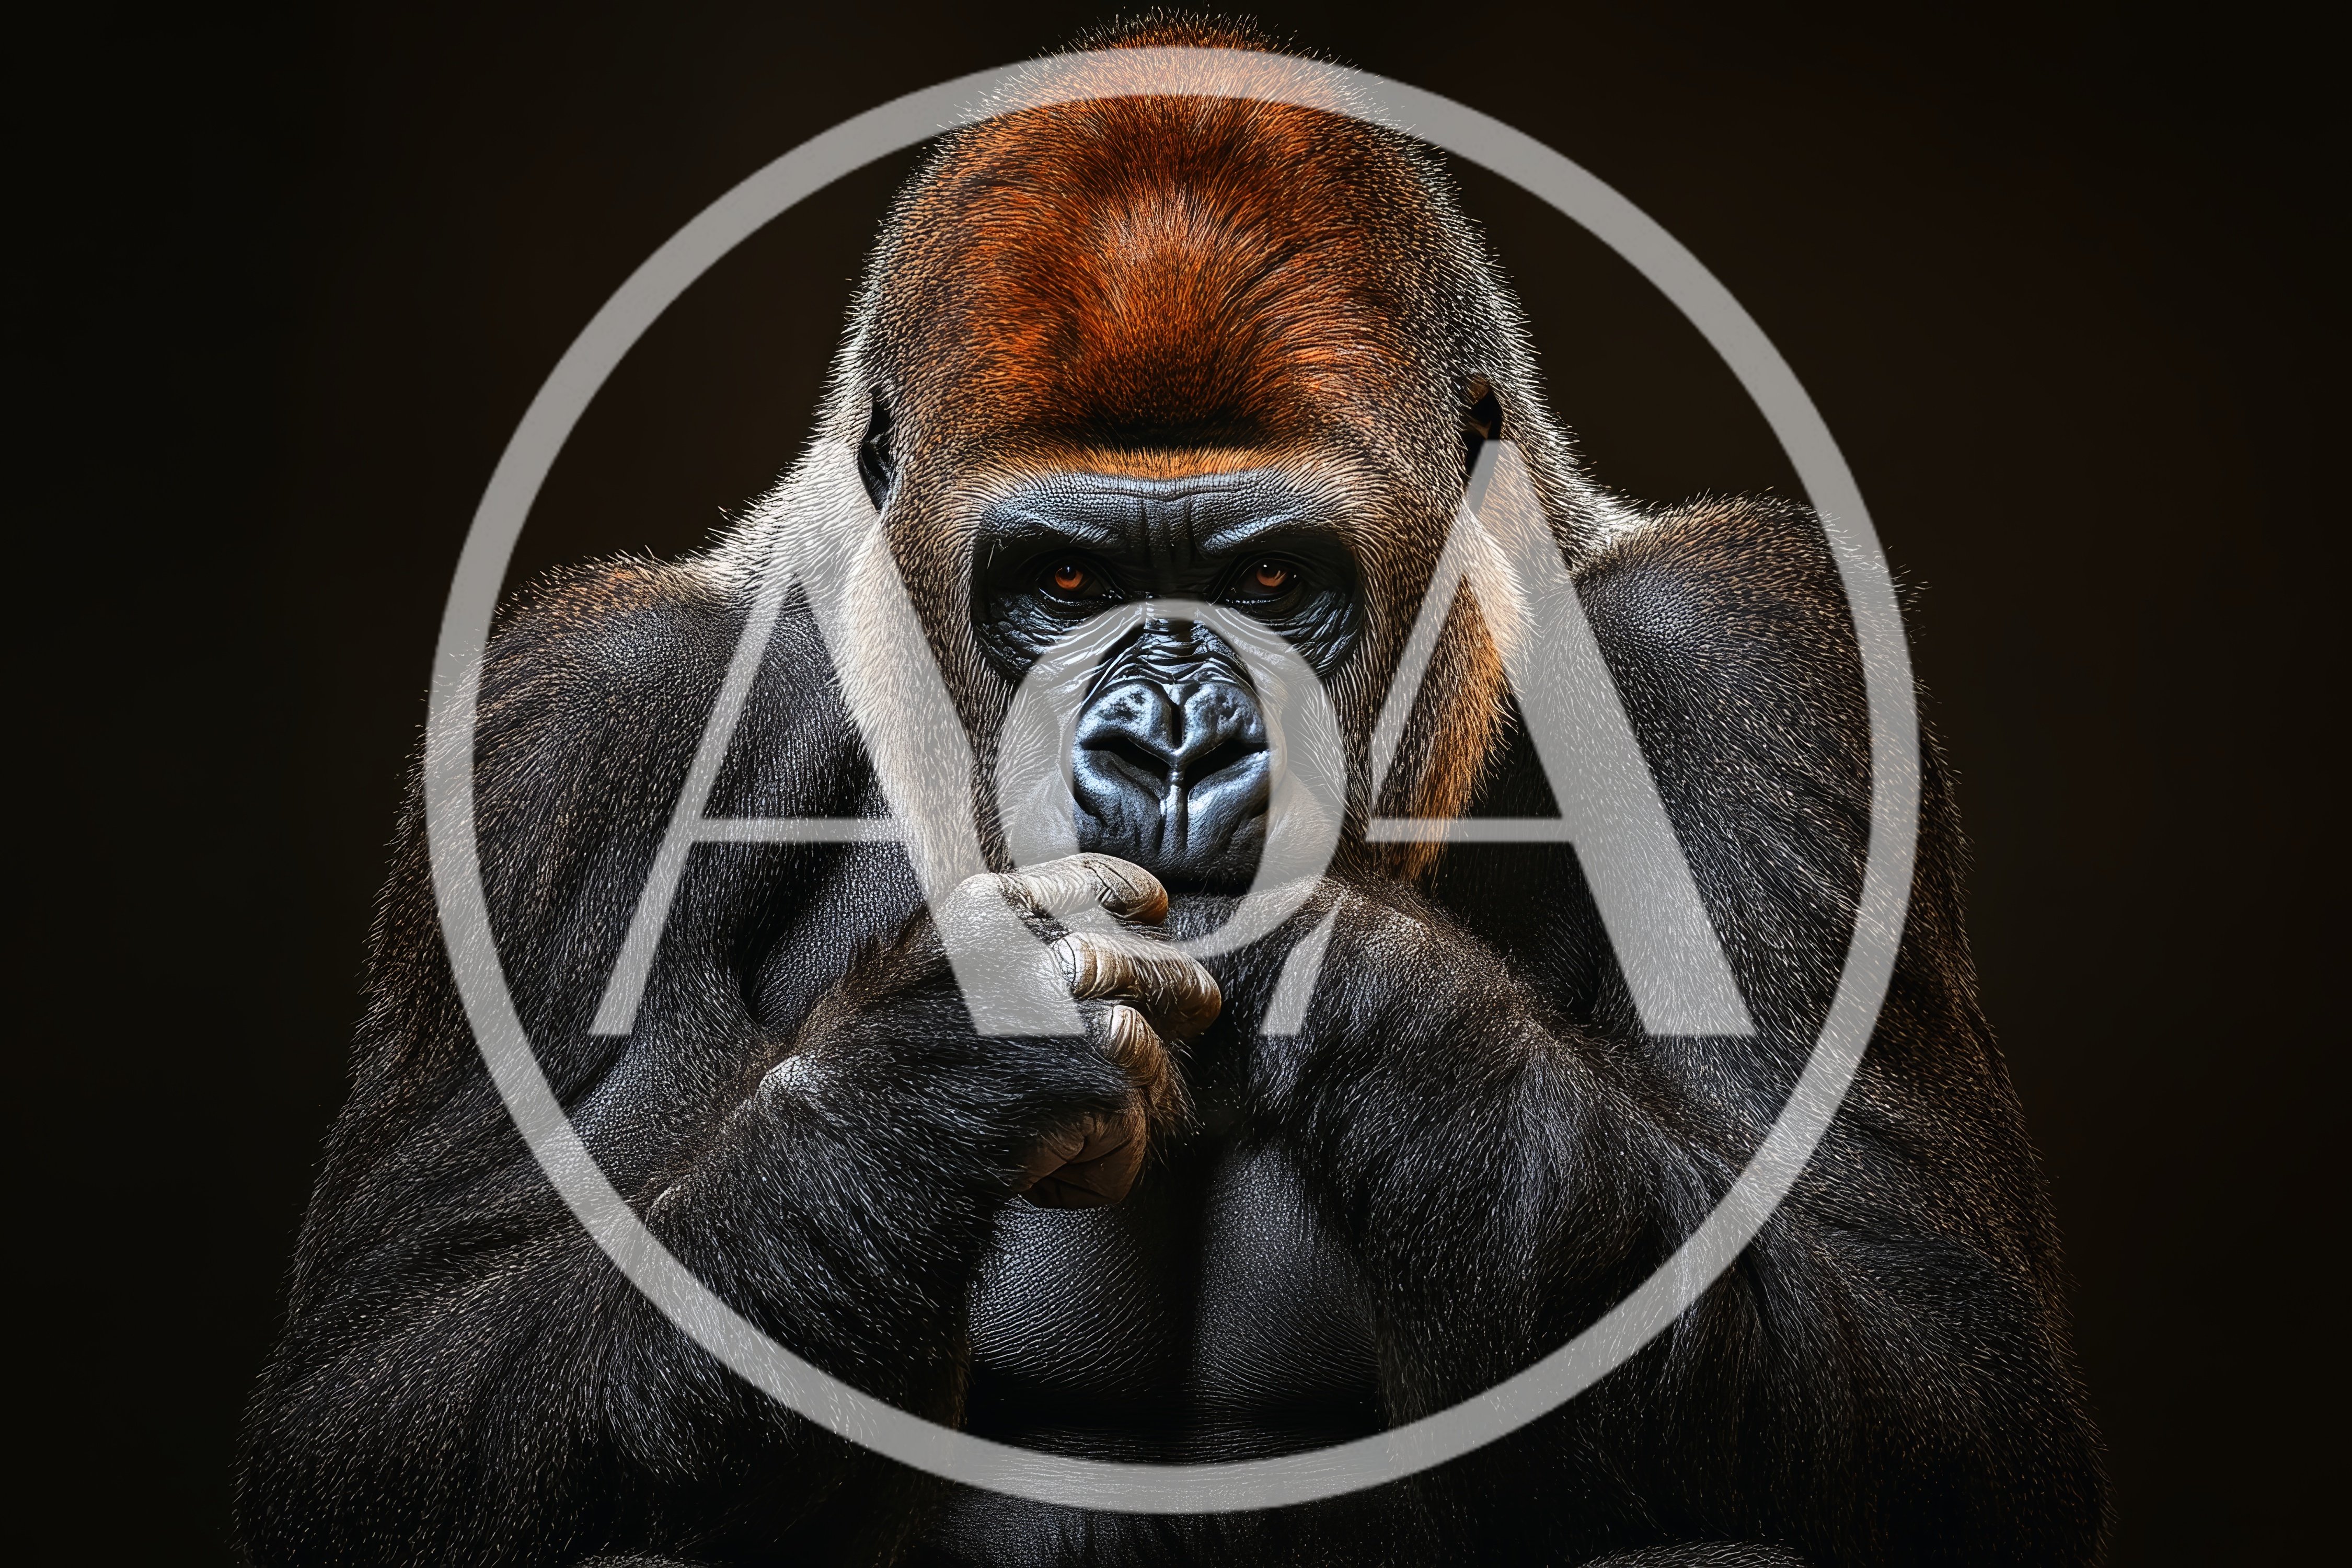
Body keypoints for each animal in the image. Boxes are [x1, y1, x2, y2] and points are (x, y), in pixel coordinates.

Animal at [236, 18, 2107, 1568]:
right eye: (1063, 589)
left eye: (1275, 583)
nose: (1178, 744)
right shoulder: (582, 741)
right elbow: (390, 1387)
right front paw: (916, 1096)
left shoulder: (1754, 661)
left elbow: (1928, 1353)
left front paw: (1361, 988)